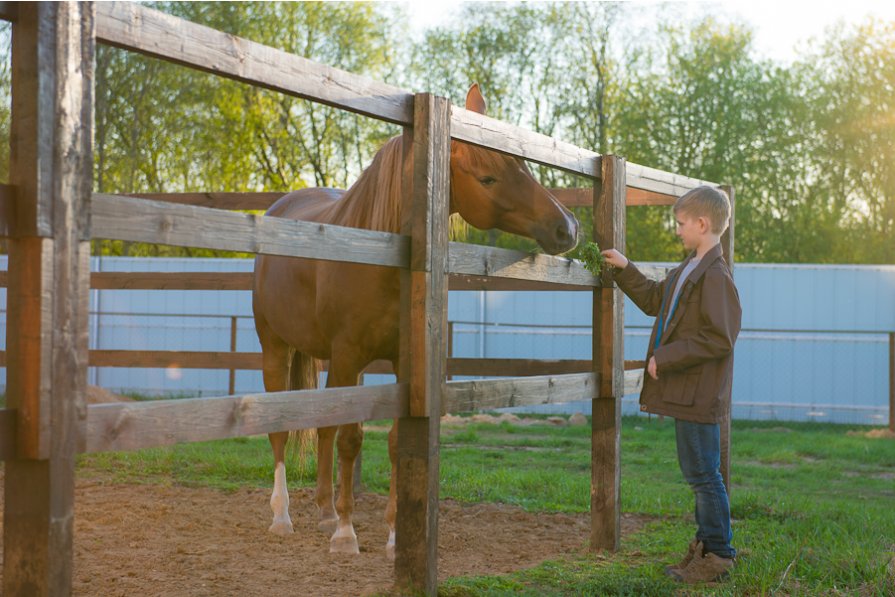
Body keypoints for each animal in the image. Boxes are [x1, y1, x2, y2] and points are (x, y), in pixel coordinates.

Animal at [250, 82, 580, 556]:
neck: (384, 258)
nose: (567, 227)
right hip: (276, 349)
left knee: (324, 428)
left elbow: (392, 442)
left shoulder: (401, 363)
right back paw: (283, 516)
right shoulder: (348, 356)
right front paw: (347, 534)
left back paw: (325, 511)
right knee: (281, 430)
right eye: (488, 177)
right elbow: (351, 439)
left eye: (523, 166)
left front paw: (391, 536)